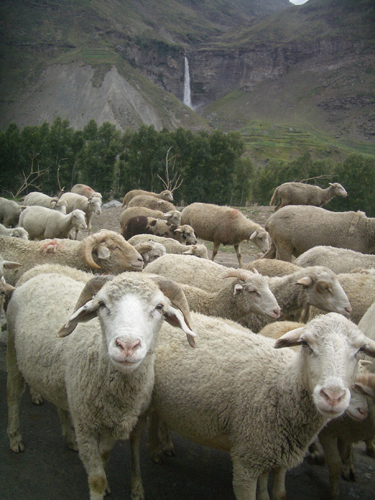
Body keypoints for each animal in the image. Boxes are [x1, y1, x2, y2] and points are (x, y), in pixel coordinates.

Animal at [6, 268, 197, 500]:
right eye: (102, 304)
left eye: (159, 307)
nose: (127, 346)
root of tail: (42, 273)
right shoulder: (84, 424)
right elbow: (96, 479)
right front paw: (99, 488)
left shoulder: (113, 424)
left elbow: (104, 455)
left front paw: (106, 484)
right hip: (12, 351)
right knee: (13, 395)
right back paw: (15, 438)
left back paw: (69, 438)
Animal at [141, 312, 375, 500]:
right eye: (305, 343)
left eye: (361, 349)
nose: (333, 396)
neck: (282, 385)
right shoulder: (248, 459)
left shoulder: (275, 454)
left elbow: (278, 493)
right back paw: (155, 451)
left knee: (155, 416)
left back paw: (158, 448)